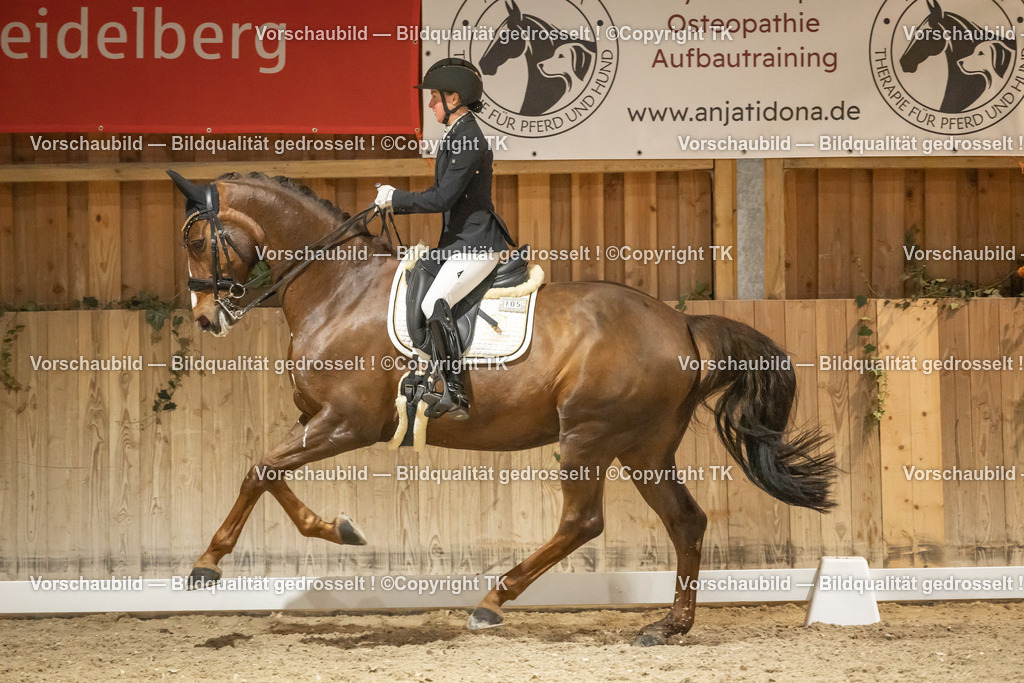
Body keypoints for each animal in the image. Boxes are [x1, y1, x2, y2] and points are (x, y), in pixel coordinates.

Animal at [169, 170, 835, 646]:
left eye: (198, 240)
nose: (205, 319)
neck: (339, 289)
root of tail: (683, 326)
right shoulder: (317, 420)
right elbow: (267, 473)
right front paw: (334, 529)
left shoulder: (347, 423)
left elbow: (261, 468)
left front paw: (206, 566)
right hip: (643, 449)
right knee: (686, 523)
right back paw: (668, 627)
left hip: (590, 437)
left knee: (583, 523)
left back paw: (492, 602)